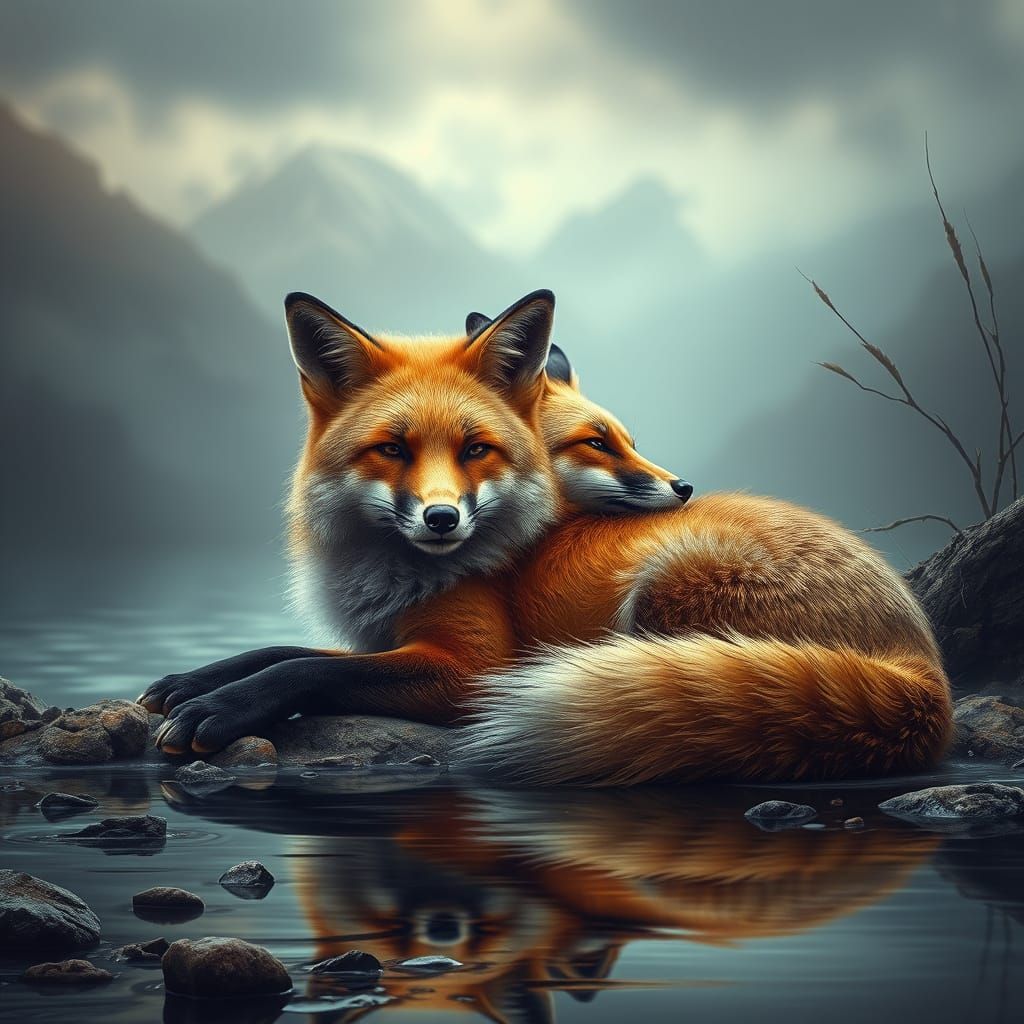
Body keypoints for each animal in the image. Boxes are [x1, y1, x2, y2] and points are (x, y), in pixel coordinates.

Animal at [141, 289, 951, 787]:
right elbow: (283, 651)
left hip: (665, 594)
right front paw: (193, 682)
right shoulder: (388, 636)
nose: (442, 519)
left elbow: (309, 670)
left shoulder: (470, 667)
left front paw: (221, 709)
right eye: (392, 450)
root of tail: (925, 665)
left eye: (476, 450)